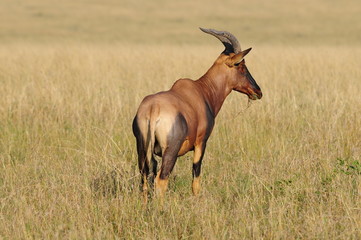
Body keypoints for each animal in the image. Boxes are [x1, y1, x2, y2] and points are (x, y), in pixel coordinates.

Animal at [132, 27, 262, 202]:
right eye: (240, 65)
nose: (258, 91)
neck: (202, 90)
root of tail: (153, 110)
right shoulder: (201, 142)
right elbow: (196, 174)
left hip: (142, 147)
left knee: (145, 177)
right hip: (170, 151)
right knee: (161, 180)